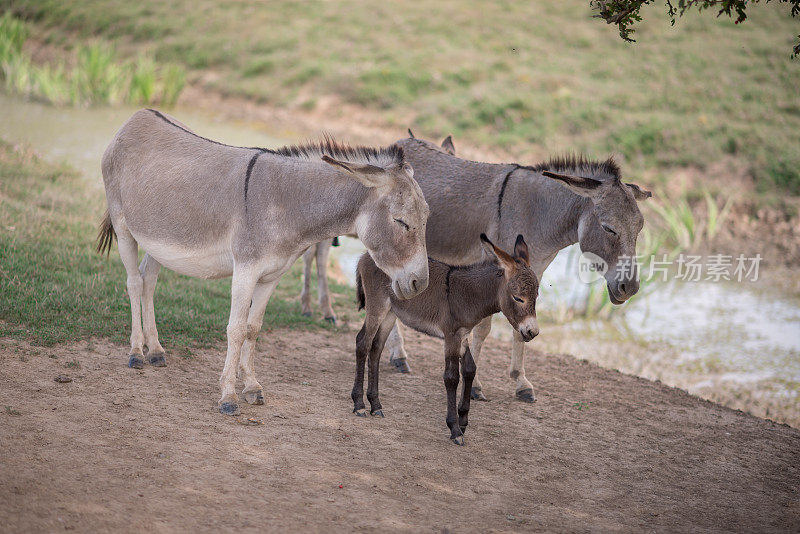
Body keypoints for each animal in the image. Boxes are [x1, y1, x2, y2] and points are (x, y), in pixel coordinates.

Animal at [354, 237, 536, 446]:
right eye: (518, 298)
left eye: (536, 296)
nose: (532, 332)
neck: (467, 294)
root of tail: (366, 256)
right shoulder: (451, 336)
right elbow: (451, 377)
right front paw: (455, 429)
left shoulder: (463, 336)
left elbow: (470, 369)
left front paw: (463, 421)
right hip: (377, 307)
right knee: (362, 343)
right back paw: (359, 405)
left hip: (390, 313)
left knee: (376, 349)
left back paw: (375, 405)